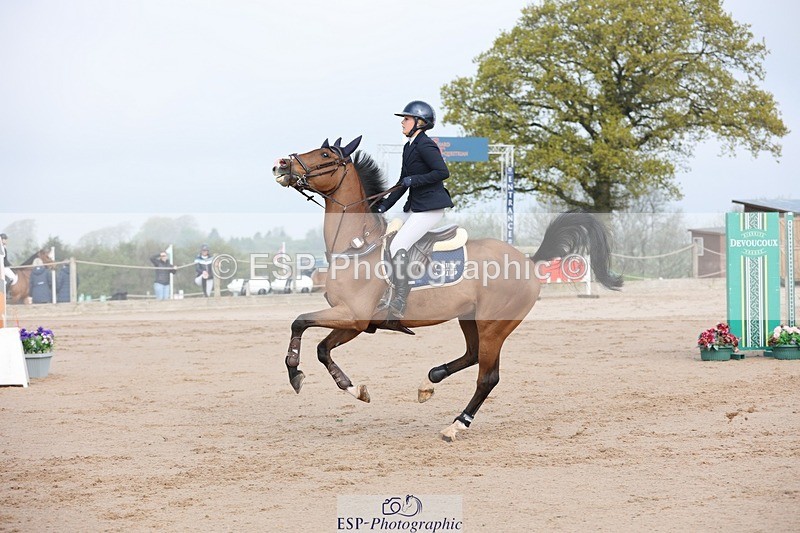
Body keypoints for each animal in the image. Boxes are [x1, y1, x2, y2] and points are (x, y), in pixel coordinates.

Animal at [272, 136, 622, 440]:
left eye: (325, 155)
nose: (281, 165)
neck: (357, 245)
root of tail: (527, 260)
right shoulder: (355, 321)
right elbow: (322, 348)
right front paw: (353, 388)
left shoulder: (353, 316)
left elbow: (299, 322)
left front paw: (295, 375)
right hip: (469, 318)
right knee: (472, 355)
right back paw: (430, 382)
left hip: (494, 326)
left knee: (488, 376)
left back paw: (456, 425)